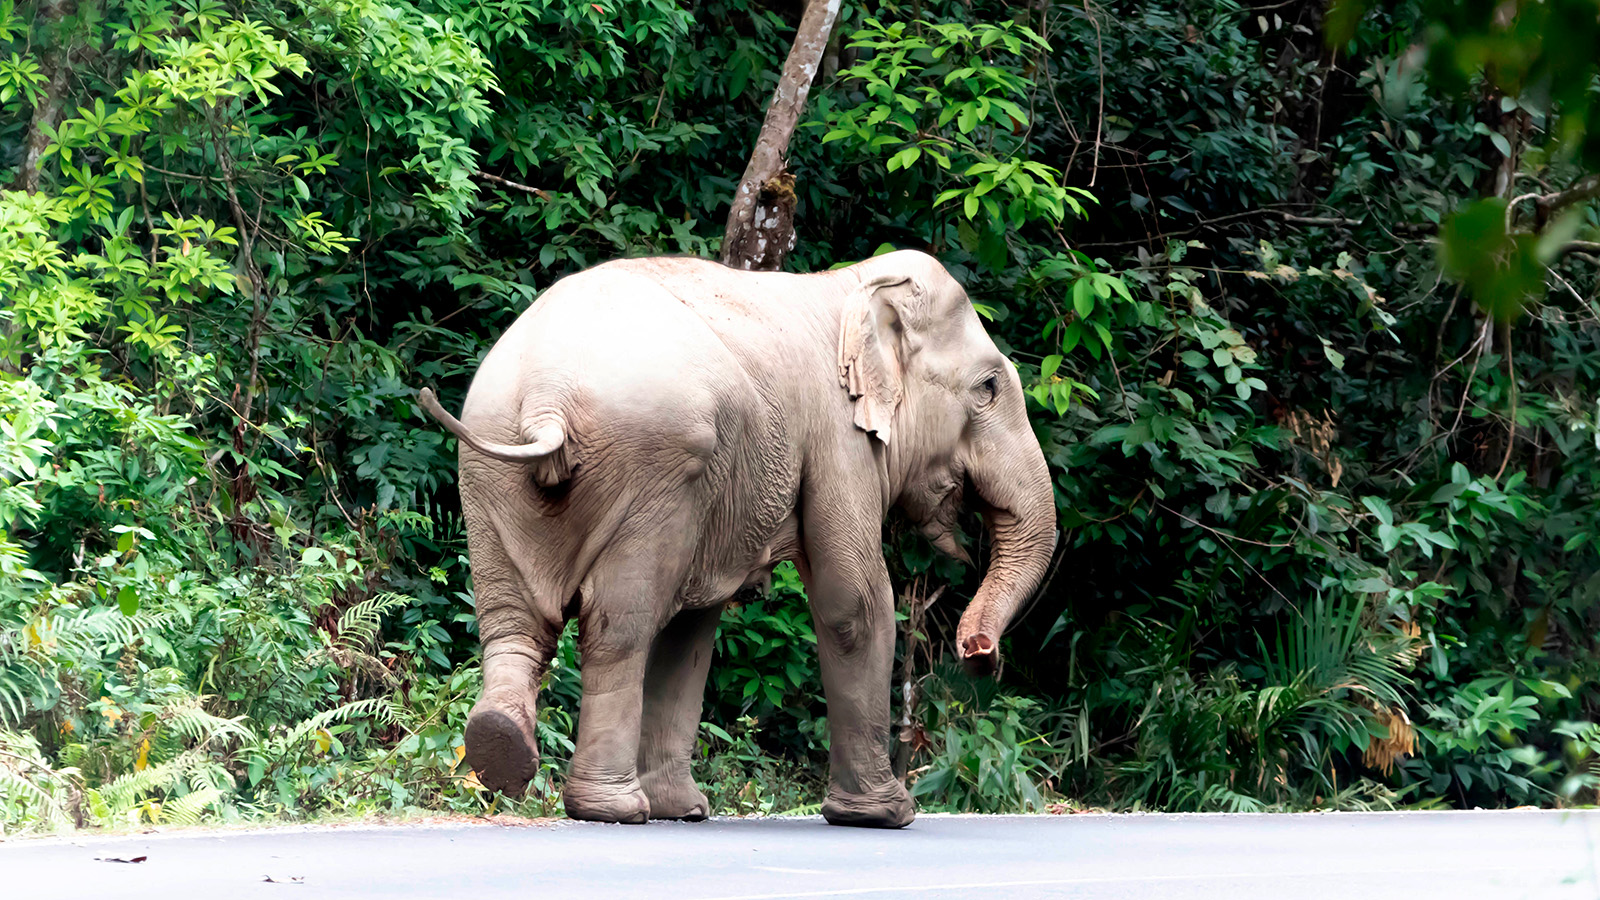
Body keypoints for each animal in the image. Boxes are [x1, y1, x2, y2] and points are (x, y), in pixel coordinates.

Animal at [417, 250, 1057, 828]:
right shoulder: (837, 435)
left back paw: (504, 750)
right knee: (619, 628)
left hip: (489, 471)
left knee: (516, 623)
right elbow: (854, 601)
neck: (851, 285)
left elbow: (691, 630)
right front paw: (887, 816)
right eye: (988, 387)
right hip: (652, 469)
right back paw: (613, 810)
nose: (978, 652)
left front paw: (684, 812)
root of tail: (546, 397)